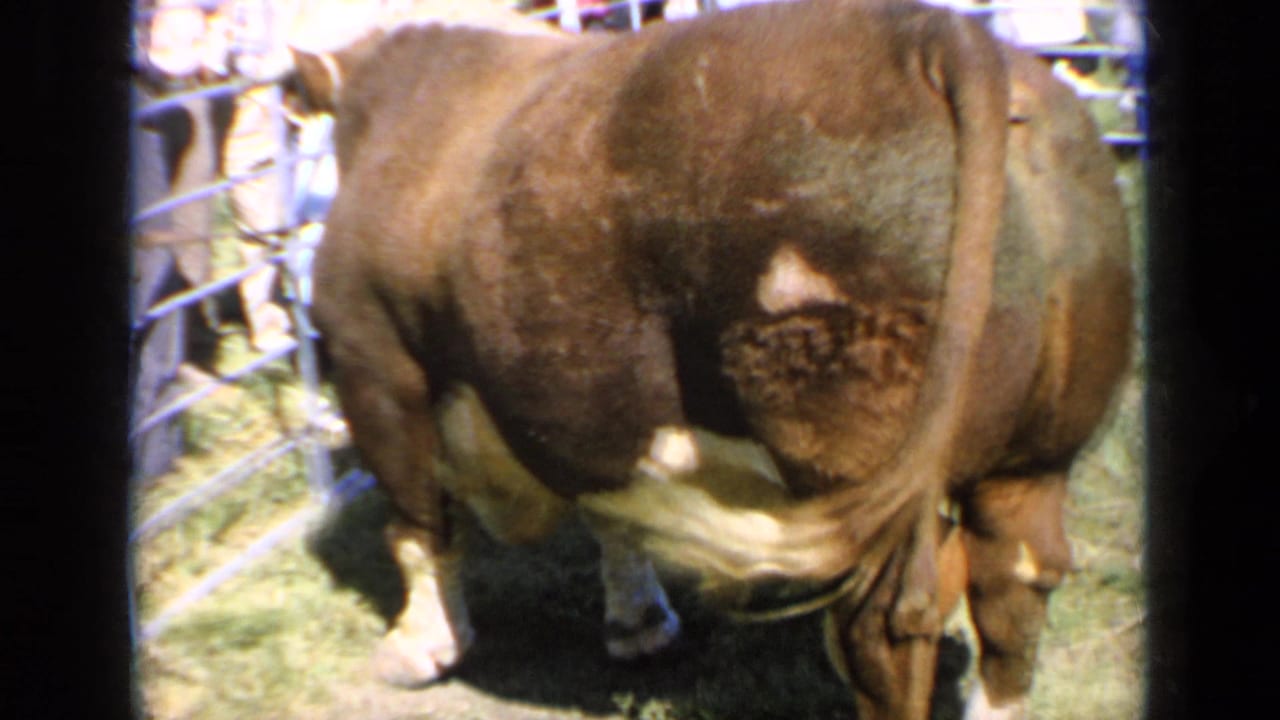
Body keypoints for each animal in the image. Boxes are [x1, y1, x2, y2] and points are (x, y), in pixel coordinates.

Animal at [289, 1, 1133, 718]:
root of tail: (937, 37)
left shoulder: (376, 363)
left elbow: (416, 523)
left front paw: (417, 650)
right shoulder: (587, 407)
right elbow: (614, 512)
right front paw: (638, 625)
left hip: (858, 471)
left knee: (890, 623)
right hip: (1035, 459)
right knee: (1015, 579)